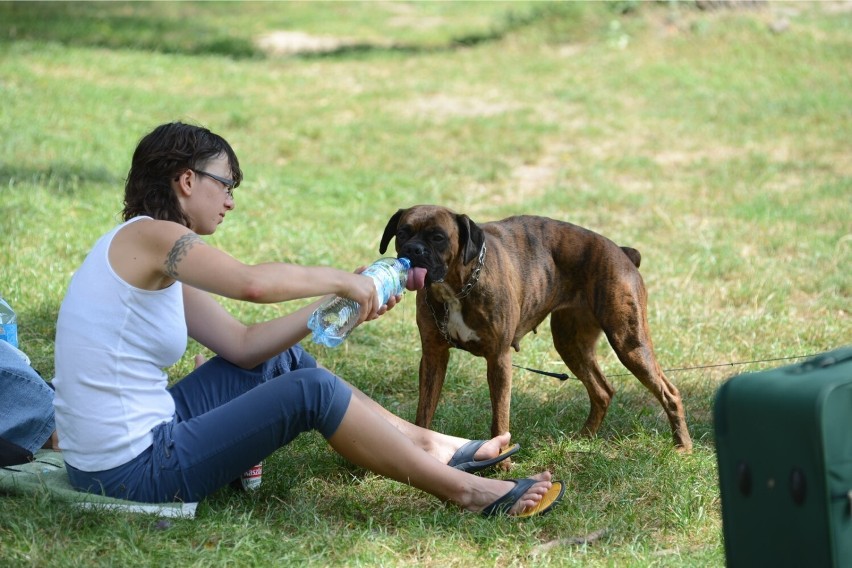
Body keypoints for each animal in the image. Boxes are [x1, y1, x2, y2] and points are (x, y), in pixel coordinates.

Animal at [380, 204, 692, 452]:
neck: (458, 288)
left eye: (438, 237)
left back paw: (683, 446)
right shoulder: (433, 356)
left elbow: (499, 419)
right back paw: (584, 438)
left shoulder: (499, 360)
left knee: (669, 392)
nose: (413, 250)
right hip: (571, 343)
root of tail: (623, 253)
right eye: (403, 233)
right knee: (602, 391)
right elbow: (424, 413)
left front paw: (501, 464)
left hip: (629, 342)